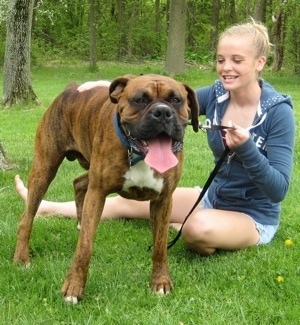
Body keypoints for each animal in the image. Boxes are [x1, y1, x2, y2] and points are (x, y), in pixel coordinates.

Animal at [13, 74, 199, 304]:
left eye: (176, 100)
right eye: (140, 100)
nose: (162, 112)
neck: (137, 153)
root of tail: (70, 90)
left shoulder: (163, 200)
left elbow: (160, 246)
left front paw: (161, 282)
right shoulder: (98, 192)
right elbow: (84, 247)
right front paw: (73, 287)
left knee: (78, 182)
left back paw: (80, 222)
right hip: (44, 168)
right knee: (27, 216)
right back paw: (21, 258)